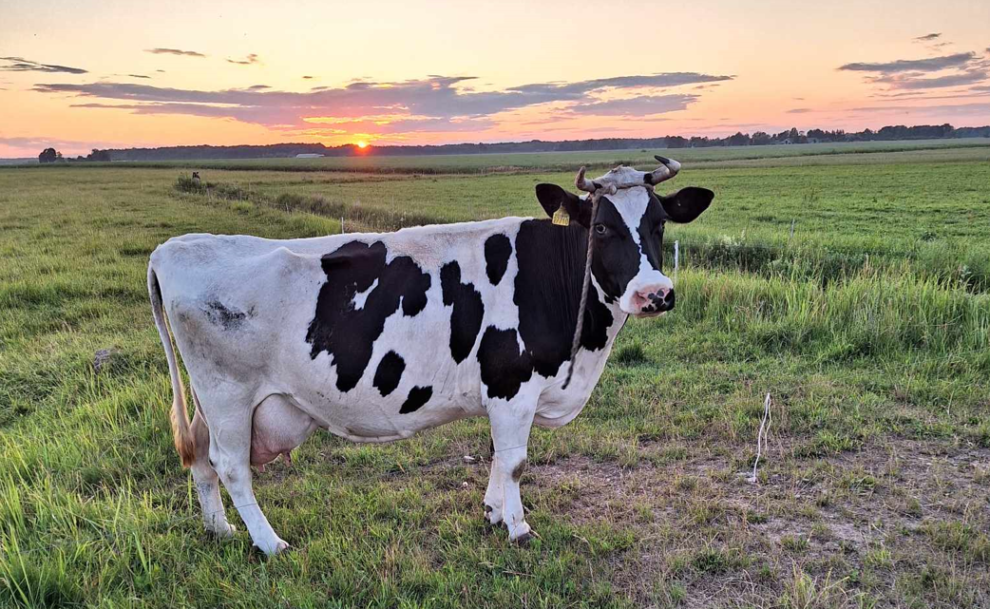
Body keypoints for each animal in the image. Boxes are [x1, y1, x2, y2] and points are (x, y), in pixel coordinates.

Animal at [147, 158, 712, 556]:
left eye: (660, 223)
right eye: (600, 228)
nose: (655, 294)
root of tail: (176, 246)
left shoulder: (502, 391)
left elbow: (497, 455)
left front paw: (492, 513)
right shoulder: (512, 384)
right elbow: (515, 462)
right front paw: (519, 528)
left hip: (212, 401)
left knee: (200, 456)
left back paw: (219, 530)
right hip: (229, 394)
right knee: (231, 465)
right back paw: (269, 543)